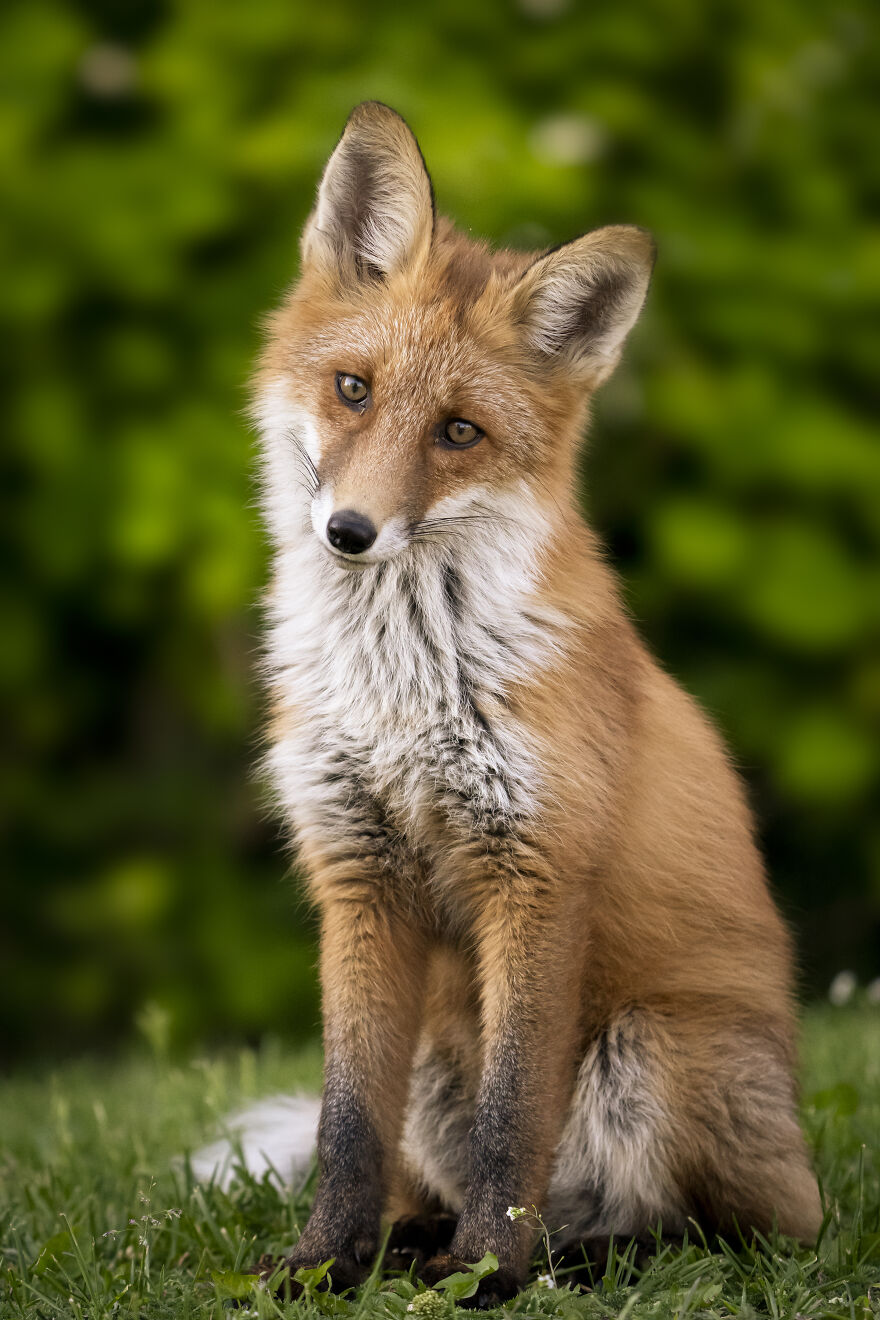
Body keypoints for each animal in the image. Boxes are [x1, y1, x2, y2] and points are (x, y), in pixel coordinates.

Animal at [248, 101, 822, 1303]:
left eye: (458, 432)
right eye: (354, 389)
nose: (350, 532)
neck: (404, 688)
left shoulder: (538, 872)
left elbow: (516, 1118)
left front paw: (486, 1278)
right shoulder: (357, 875)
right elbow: (344, 1125)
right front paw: (324, 1265)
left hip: (648, 1057)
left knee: (721, 1233)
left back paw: (568, 1261)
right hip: (435, 1063)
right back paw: (417, 1242)